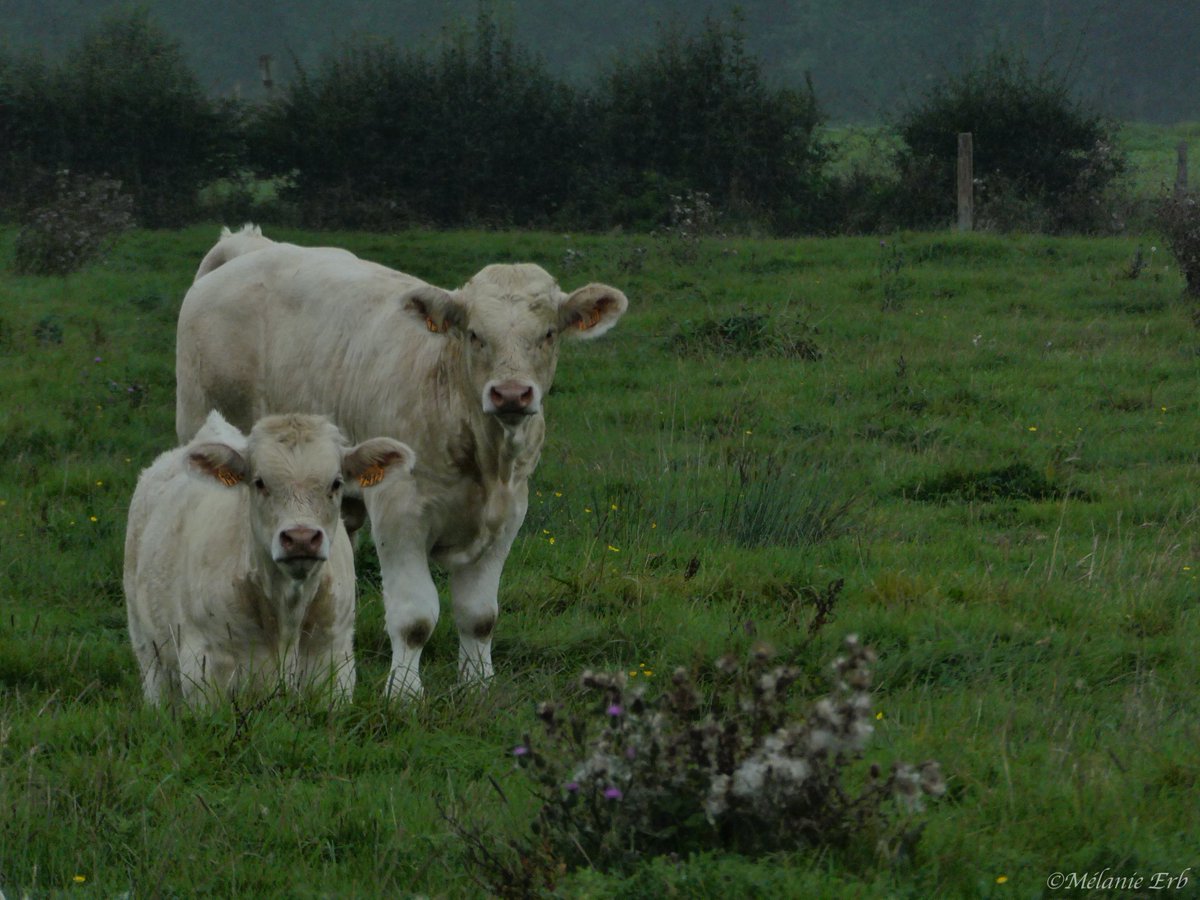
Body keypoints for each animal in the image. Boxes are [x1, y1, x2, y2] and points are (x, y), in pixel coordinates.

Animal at [124, 410, 413, 706]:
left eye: (336, 482)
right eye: (259, 482)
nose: (301, 538)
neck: (287, 612)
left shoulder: (333, 661)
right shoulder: (205, 667)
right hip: (148, 646)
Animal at [175, 227, 628, 697]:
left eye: (549, 333)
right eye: (474, 334)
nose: (511, 394)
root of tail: (249, 246)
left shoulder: (509, 515)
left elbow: (480, 615)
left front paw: (478, 685)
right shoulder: (400, 511)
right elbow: (414, 618)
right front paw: (405, 693)